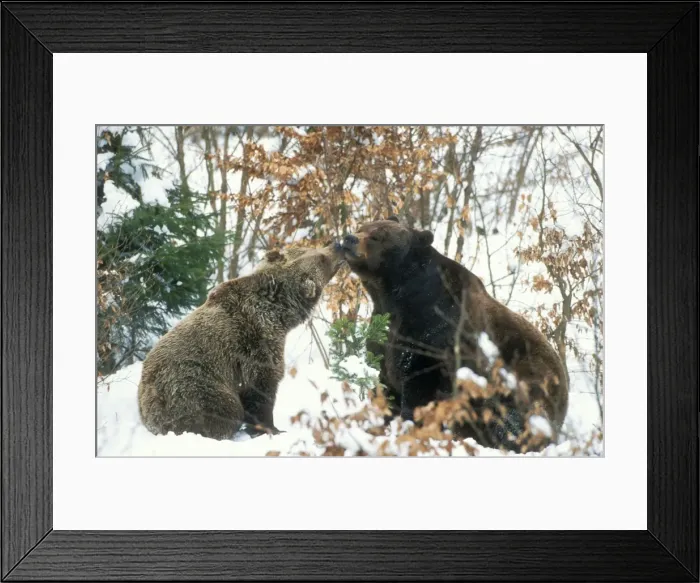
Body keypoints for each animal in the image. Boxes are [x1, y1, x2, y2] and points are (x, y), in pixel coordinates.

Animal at [137, 243, 344, 440]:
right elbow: (261, 388)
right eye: (321, 258)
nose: (337, 246)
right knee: (224, 410)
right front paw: (271, 429)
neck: (277, 311)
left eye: (314, 249)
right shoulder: (254, 344)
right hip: (194, 387)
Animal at [339, 216, 569, 451]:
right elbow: (384, 380)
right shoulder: (385, 334)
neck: (396, 297)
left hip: (523, 380)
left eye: (377, 236)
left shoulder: (436, 334)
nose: (349, 239)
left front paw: (411, 424)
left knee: (511, 418)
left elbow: (419, 386)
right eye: (363, 227)